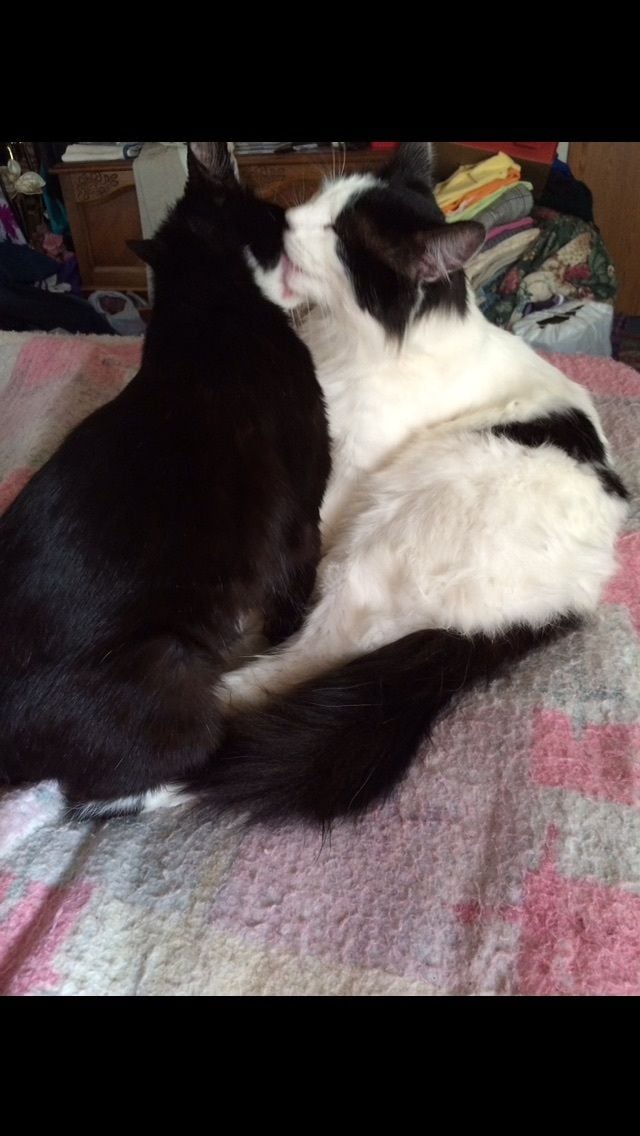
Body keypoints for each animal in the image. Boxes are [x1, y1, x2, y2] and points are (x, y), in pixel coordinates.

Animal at [0, 141, 330, 817]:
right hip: (167, 662)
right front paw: (291, 637)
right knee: (105, 789)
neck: (206, 311)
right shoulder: (301, 513)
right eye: (276, 214)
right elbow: (299, 583)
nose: (300, 218)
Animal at [165, 141, 628, 826]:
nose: (284, 220)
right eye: (317, 201)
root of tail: (565, 598)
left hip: (385, 530)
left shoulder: (337, 479)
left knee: (305, 655)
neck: (354, 343)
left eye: (338, 236)